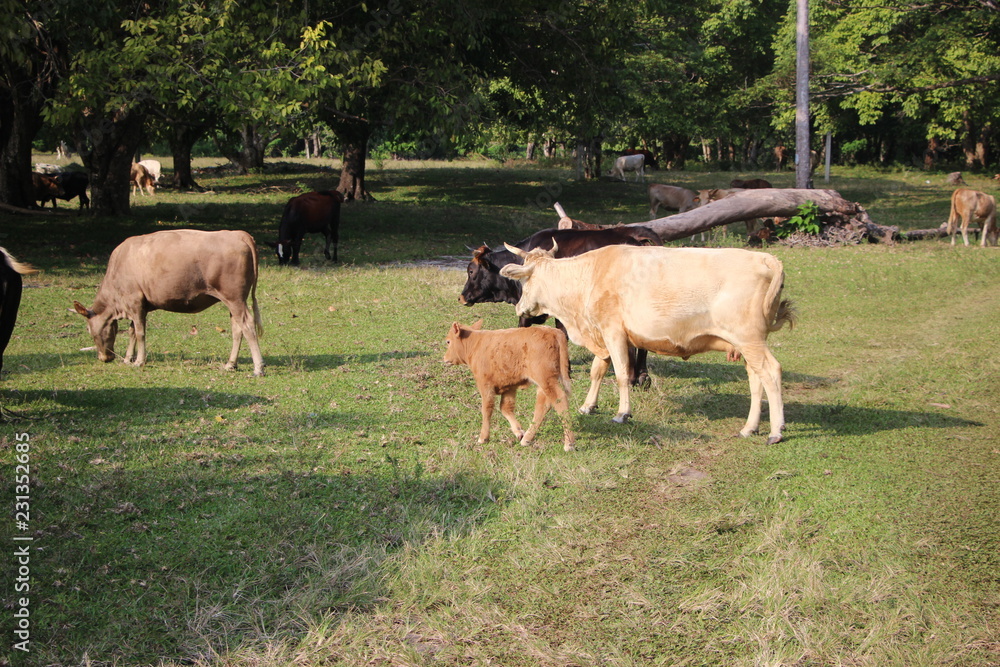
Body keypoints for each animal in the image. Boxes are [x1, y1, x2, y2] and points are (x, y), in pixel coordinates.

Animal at [73, 230, 266, 376]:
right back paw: (231, 364)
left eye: (88, 329)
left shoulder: (135, 302)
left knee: (248, 325)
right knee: (237, 329)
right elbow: (132, 331)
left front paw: (139, 361)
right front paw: (128, 359)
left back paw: (258, 367)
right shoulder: (138, 306)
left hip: (235, 298)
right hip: (234, 301)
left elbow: (140, 333)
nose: (103, 358)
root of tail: (239, 234)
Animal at [442, 320, 576, 454]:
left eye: (448, 341)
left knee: (559, 400)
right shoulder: (509, 386)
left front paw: (483, 437)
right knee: (543, 405)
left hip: (545, 379)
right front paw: (518, 431)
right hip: (545, 383)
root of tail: (553, 331)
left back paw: (569, 443)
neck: (476, 345)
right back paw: (527, 438)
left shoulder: (485, 385)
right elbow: (505, 408)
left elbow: (487, 409)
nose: (444, 358)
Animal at [504, 244, 800, 444]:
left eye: (524, 281)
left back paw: (776, 431)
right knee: (756, 378)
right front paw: (588, 406)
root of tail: (763, 257)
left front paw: (622, 413)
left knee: (771, 372)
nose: (519, 308)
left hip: (750, 338)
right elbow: (597, 371)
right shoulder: (602, 333)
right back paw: (750, 427)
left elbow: (622, 374)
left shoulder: (613, 331)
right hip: (747, 343)